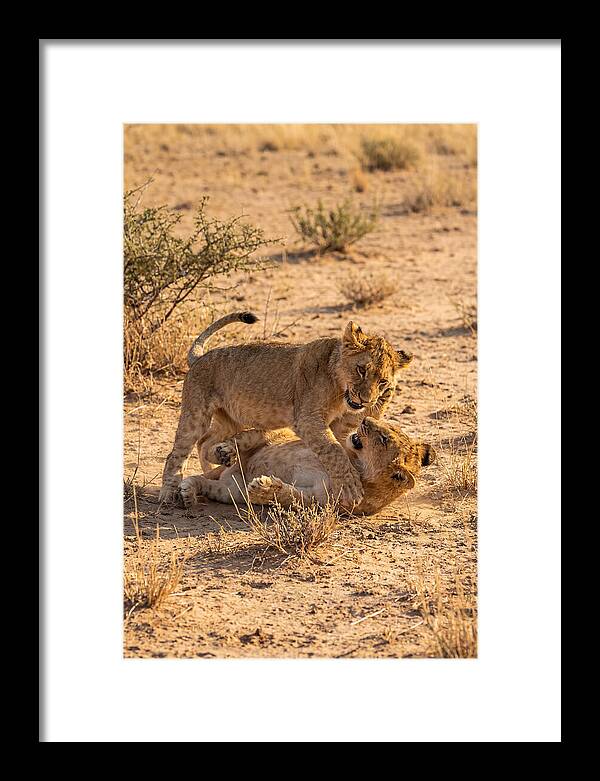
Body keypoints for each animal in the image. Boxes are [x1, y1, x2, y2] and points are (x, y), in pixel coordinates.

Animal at [159, 311, 413, 507]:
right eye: (361, 370)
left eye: (383, 381)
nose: (366, 400)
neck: (339, 389)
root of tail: (200, 357)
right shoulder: (308, 419)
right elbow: (334, 450)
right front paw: (351, 486)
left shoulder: (340, 425)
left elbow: (340, 446)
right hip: (196, 413)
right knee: (177, 453)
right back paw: (169, 493)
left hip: (231, 418)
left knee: (205, 442)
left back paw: (218, 462)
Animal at [179, 417, 436, 516]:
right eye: (387, 426)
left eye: (383, 439)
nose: (364, 419)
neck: (355, 464)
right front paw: (226, 450)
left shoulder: (318, 501)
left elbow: (290, 496)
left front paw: (264, 488)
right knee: (248, 438)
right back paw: (221, 454)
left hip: (231, 491)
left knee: (207, 483)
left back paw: (188, 493)